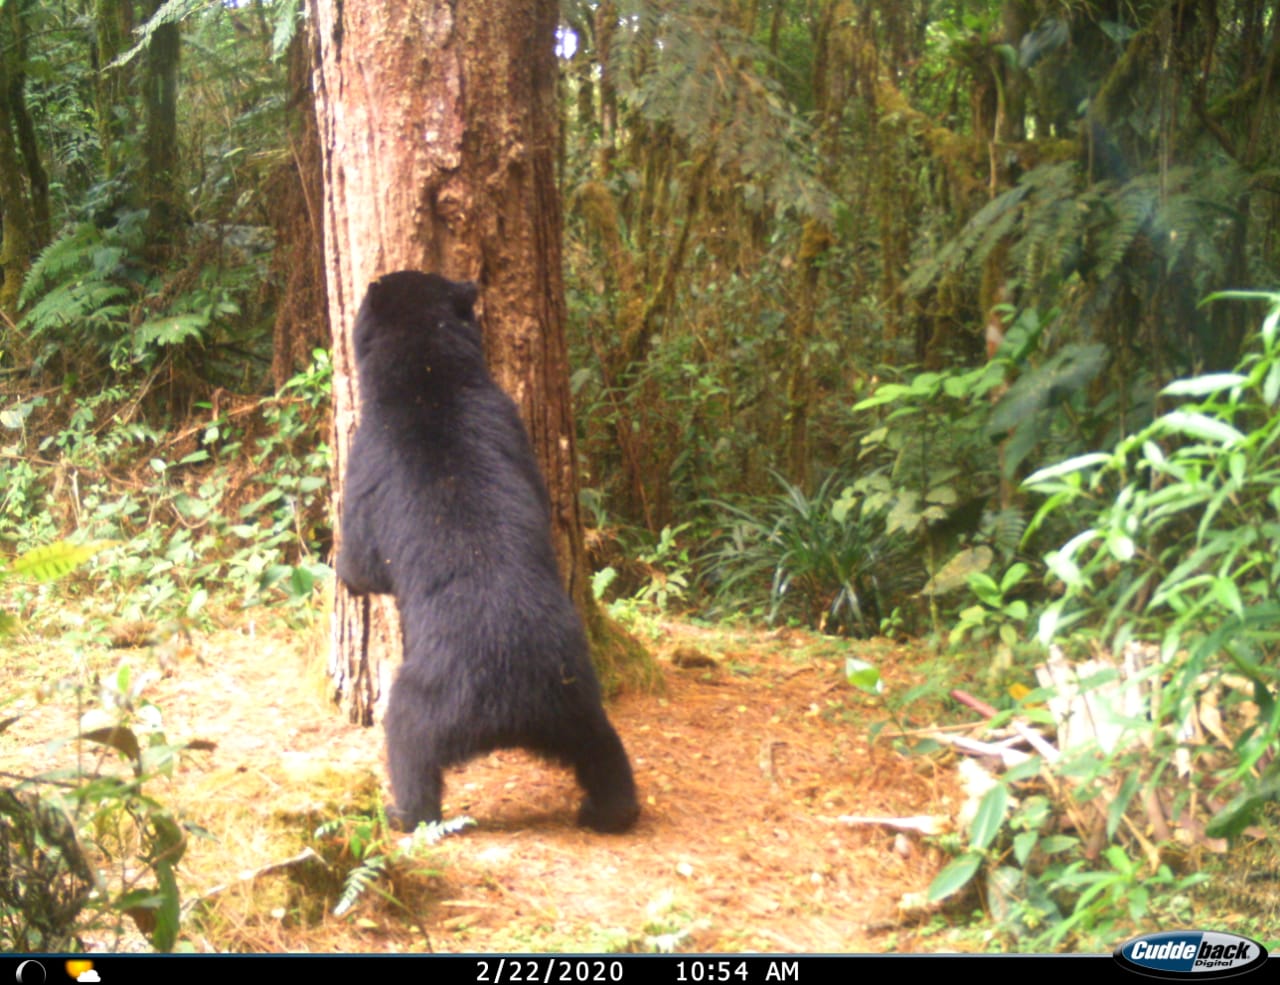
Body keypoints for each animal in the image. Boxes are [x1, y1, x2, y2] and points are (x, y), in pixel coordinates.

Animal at [337, 266, 640, 828]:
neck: (429, 376)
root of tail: (510, 712)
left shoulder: (369, 455)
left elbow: (363, 560)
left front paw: (342, 567)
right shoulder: (509, 420)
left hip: (428, 698)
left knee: (409, 745)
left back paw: (400, 812)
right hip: (576, 694)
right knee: (604, 750)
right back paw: (609, 810)